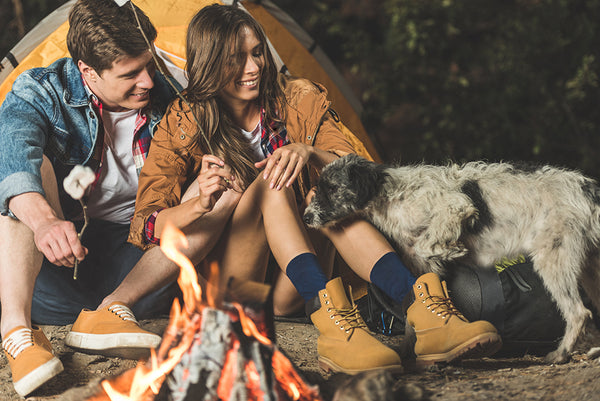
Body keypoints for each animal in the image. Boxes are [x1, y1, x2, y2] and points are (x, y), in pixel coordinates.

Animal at [304, 152, 600, 362]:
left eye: (332, 188)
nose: (306, 216)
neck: (391, 196)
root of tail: (588, 188)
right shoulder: (418, 268)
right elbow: (414, 307)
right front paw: (411, 351)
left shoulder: (456, 207)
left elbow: (429, 244)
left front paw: (450, 248)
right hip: (589, 269)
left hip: (553, 258)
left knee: (579, 313)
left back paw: (561, 354)